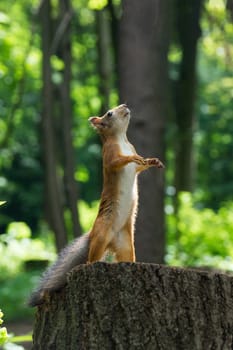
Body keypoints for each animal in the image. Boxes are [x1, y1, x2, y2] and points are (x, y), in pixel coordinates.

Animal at [28, 104, 164, 306]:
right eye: (109, 113)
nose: (125, 106)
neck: (122, 139)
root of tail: (95, 235)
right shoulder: (109, 154)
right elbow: (117, 162)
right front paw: (130, 159)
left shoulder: (133, 152)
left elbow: (140, 167)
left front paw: (152, 161)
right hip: (101, 236)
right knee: (90, 261)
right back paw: (91, 263)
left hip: (125, 245)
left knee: (125, 257)